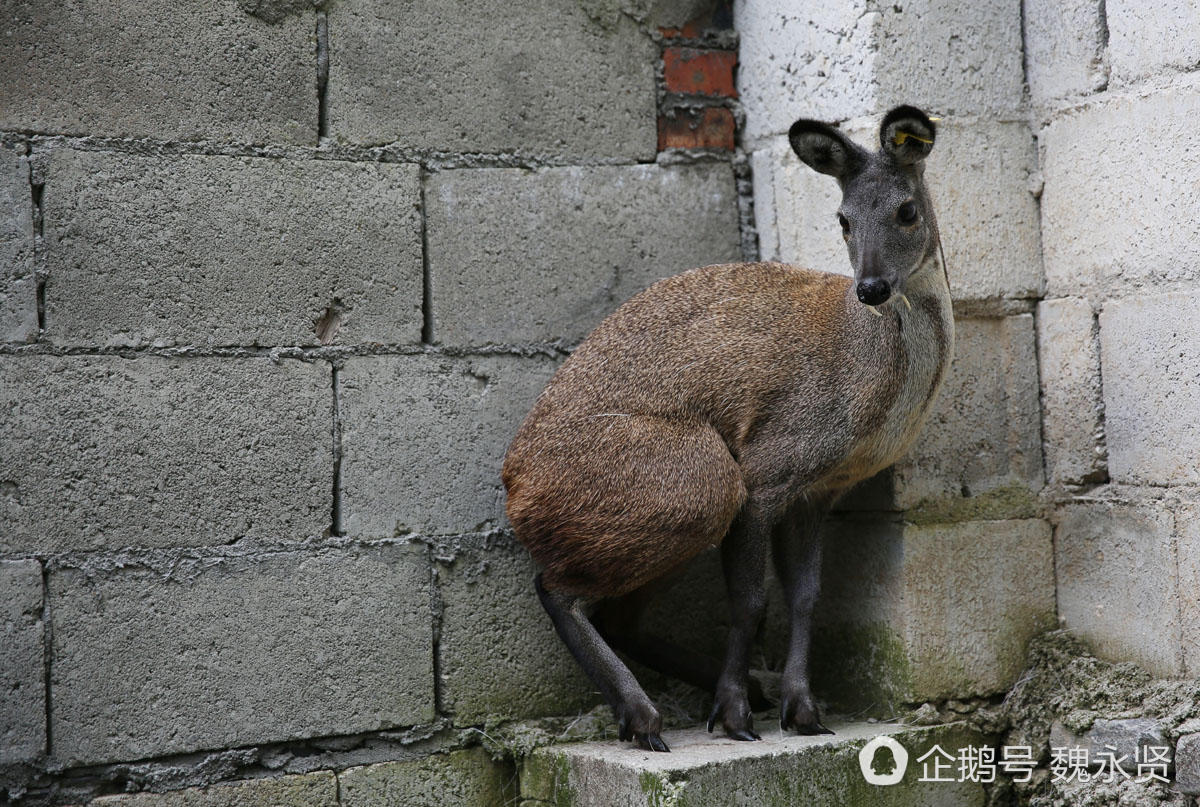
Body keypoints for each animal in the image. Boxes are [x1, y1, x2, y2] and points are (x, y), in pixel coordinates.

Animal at [501, 105, 950, 749]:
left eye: (907, 210)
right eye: (842, 219)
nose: (871, 288)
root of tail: (514, 488)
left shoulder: (818, 489)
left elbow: (806, 598)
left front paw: (801, 710)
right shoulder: (768, 465)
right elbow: (750, 600)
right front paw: (733, 716)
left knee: (616, 614)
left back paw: (730, 694)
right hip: (698, 482)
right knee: (556, 588)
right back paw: (645, 716)